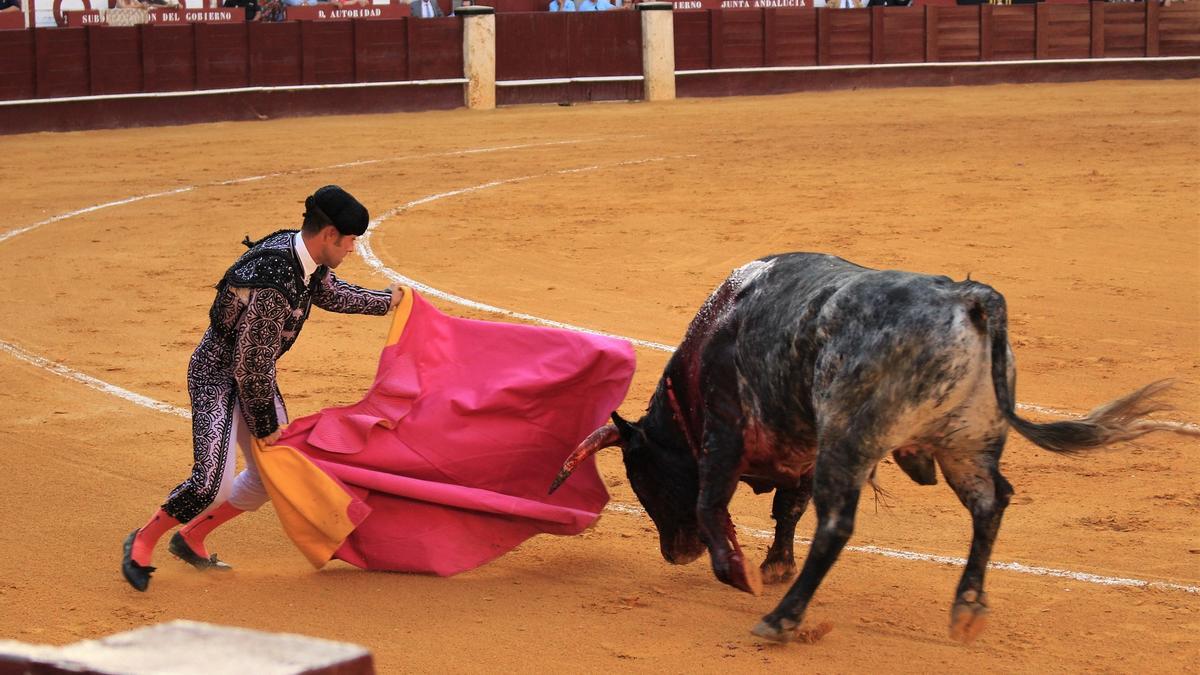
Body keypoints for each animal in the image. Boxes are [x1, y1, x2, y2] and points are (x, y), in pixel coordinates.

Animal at [549, 251, 1195, 638]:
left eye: (643, 479)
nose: (674, 555)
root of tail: (969, 300)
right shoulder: (799, 451)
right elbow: (785, 510)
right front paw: (774, 564)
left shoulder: (726, 433)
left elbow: (715, 505)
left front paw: (741, 571)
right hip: (966, 442)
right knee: (991, 503)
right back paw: (967, 609)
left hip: (852, 439)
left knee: (837, 525)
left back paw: (781, 620)